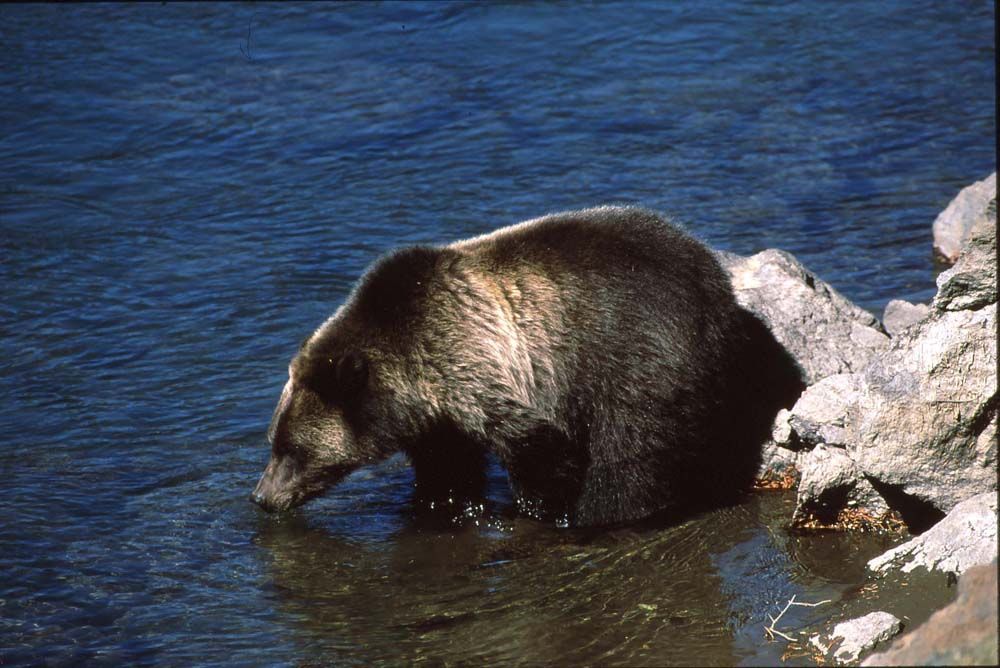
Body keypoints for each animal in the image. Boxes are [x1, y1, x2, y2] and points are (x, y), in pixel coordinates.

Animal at [251, 206, 804, 527]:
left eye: (291, 450)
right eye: (275, 442)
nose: (262, 496)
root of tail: (716, 281)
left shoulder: (483, 366)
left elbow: (540, 452)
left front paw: (542, 510)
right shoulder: (440, 412)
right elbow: (447, 466)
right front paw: (442, 504)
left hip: (640, 357)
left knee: (634, 451)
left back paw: (608, 514)